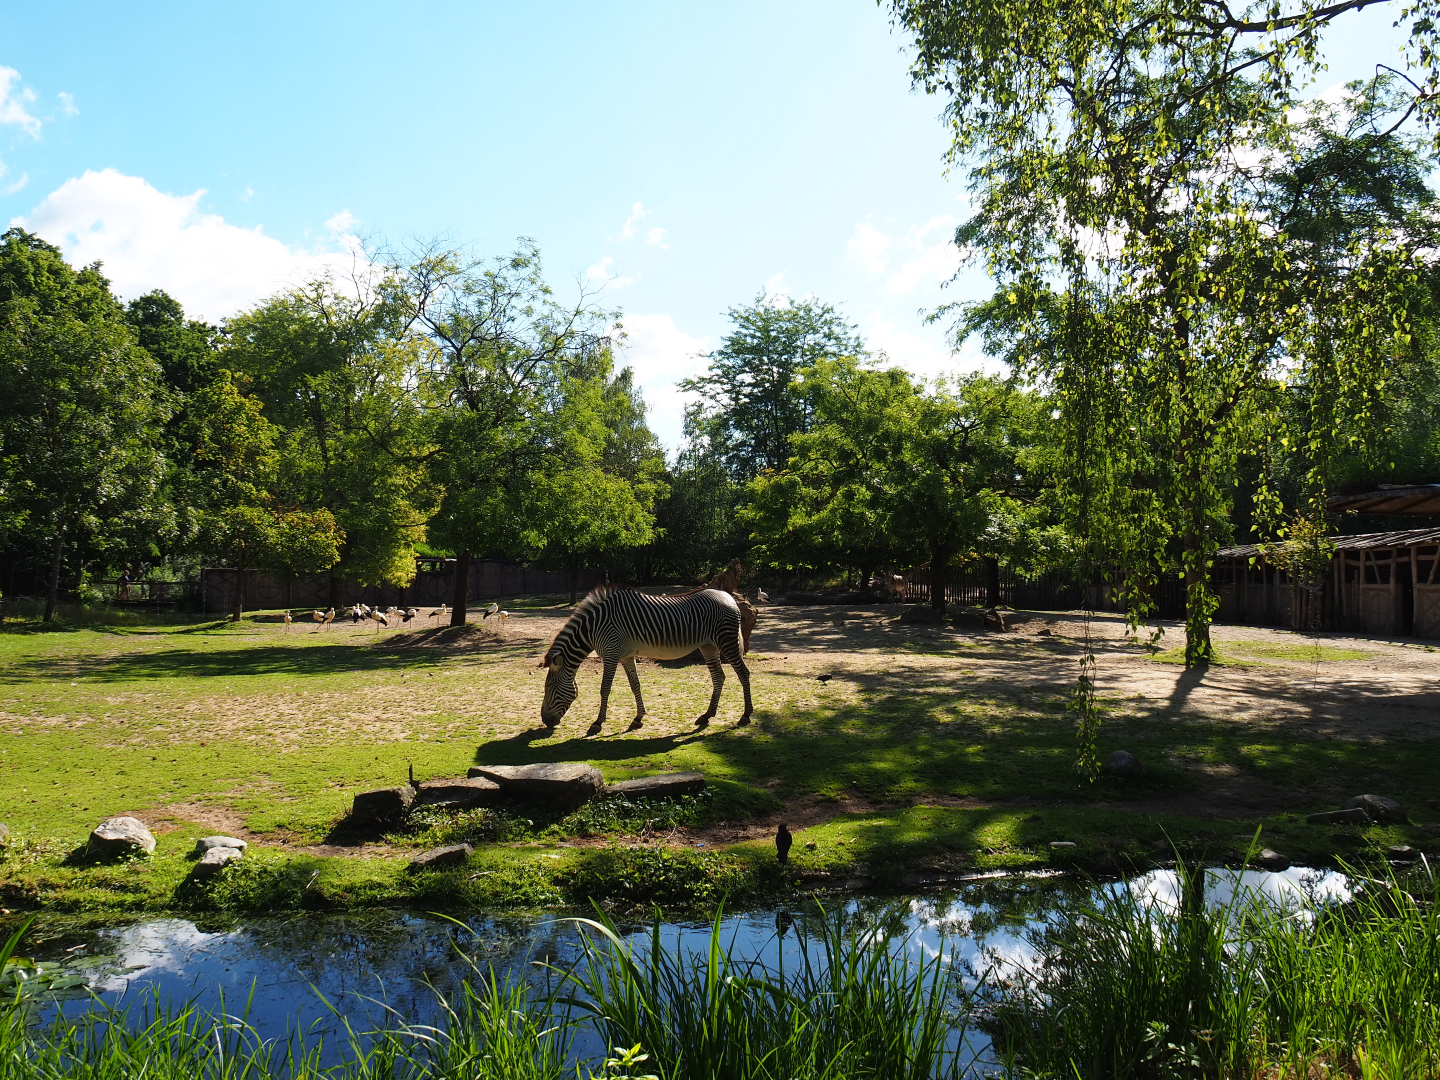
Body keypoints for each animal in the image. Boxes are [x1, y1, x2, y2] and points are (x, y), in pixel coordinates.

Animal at [538, 586, 754, 736]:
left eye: (549, 687)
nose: (546, 722)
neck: (594, 627)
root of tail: (728, 596)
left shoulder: (611, 653)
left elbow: (605, 688)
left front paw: (597, 723)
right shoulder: (626, 655)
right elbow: (635, 685)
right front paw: (638, 719)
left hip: (726, 640)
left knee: (743, 673)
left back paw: (745, 715)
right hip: (708, 645)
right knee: (719, 677)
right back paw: (707, 715)